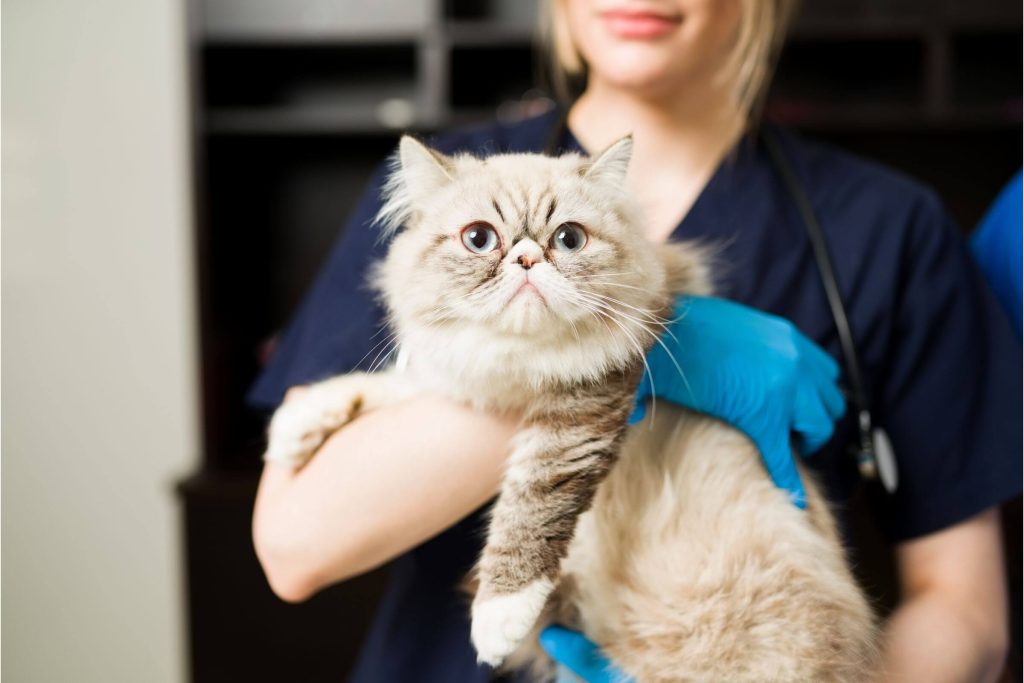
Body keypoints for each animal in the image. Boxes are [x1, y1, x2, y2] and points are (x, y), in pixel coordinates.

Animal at [260, 136, 876, 679]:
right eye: (479, 238)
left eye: (569, 238)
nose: (529, 258)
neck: (517, 368)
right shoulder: (462, 379)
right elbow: (387, 384)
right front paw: (294, 430)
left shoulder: (581, 410)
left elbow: (528, 511)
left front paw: (496, 621)